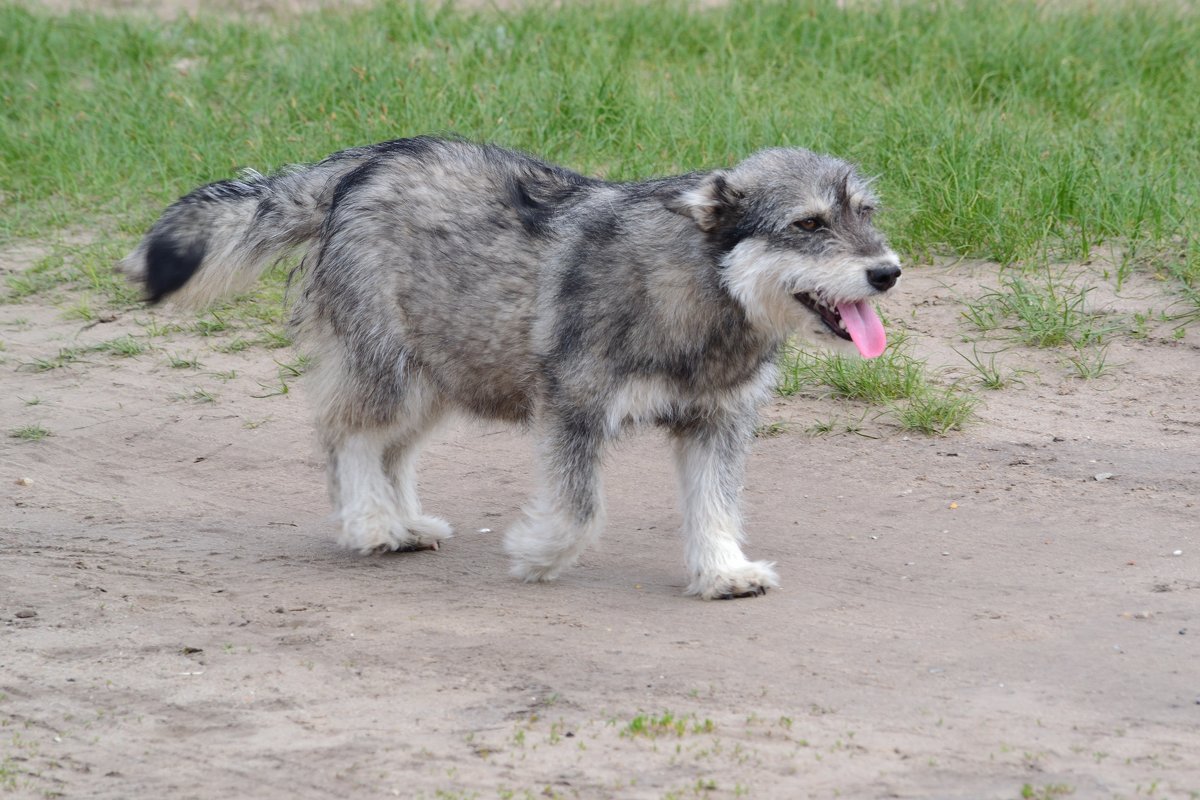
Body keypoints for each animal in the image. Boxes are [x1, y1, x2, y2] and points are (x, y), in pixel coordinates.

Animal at [121, 136, 902, 599]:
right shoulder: (574, 407)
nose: (888, 272)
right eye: (807, 224)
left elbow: (715, 505)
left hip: (442, 375)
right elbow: (581, 510)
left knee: (392, 451)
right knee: (347, 436)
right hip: (392, 374)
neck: (701, 287)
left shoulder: (718, 423)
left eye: (865, 212)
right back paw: (369, 524)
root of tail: (360, 163)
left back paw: (404, 523)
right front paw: (539, 554)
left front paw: (722, 571)